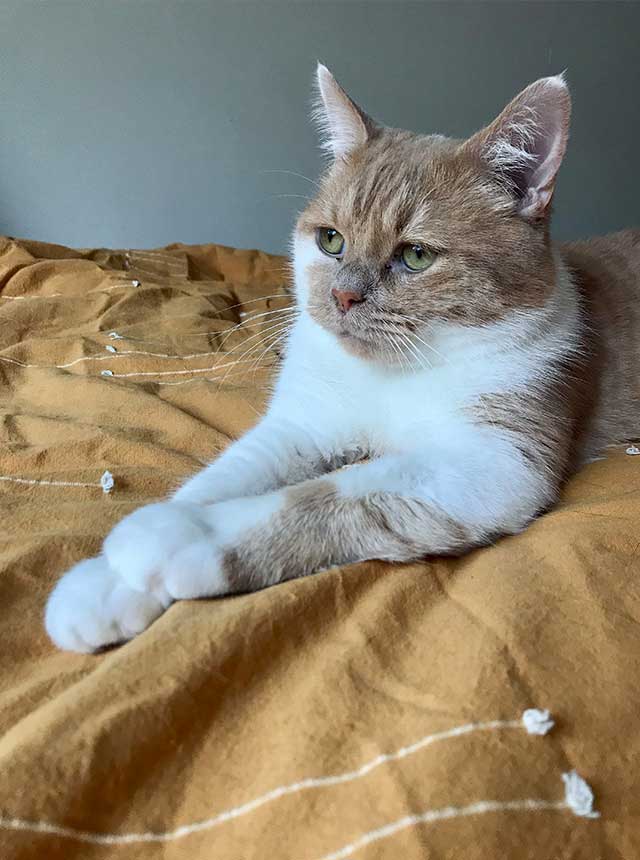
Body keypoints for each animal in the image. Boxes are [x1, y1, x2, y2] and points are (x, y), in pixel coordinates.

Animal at [46, 63, 640, 652]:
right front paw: (103, 583)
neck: (390, 374)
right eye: (331, 240)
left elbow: (325, 496)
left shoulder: (494, 465)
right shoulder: (301, 428)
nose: (343, 295)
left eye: (415, 255)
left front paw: (170, 536)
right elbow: (217, 481)